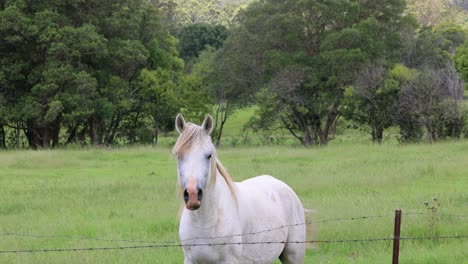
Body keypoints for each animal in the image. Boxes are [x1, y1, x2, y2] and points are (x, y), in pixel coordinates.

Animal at [173, 114, 308, 264]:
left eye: (209, 155)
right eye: (178, 155)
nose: (192, 195)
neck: (205, 222)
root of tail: (286, 188)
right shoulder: (190, 260)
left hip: (293, 255)